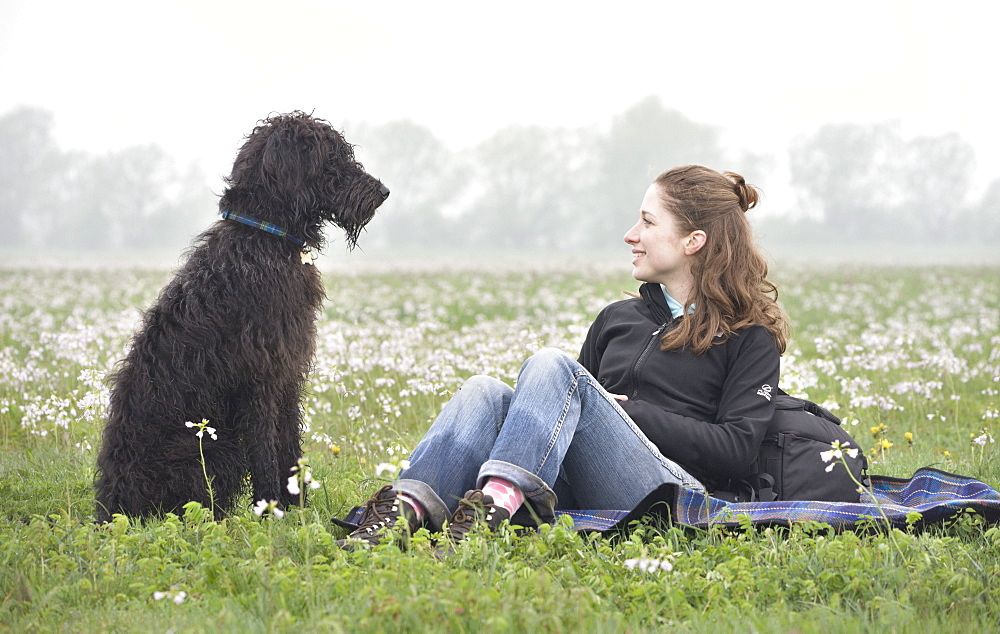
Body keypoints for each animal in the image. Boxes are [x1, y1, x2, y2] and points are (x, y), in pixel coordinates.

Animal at [94, 112, 386, 520]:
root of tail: (111, 505)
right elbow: (265, 451)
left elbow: (289, 445)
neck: (267, 235)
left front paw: (297, 509)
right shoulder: (258, 380)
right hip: (210, 448)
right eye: (332, 159)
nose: (383, 192)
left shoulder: (287, 374)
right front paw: (271, 511)